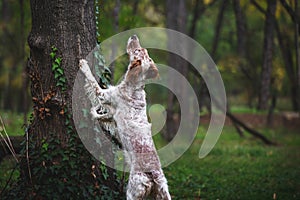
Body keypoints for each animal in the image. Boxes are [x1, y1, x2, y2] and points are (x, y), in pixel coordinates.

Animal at [78, 35, 171, 199]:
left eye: (137, 50)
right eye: (141, 49)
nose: (134, 36)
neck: (134, 86)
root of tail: (153, 176)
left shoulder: (104, 95)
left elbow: (93, 82)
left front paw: (84, 64)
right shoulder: (112, 112)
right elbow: (104, 115)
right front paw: (96, 115)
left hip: (132, 191)